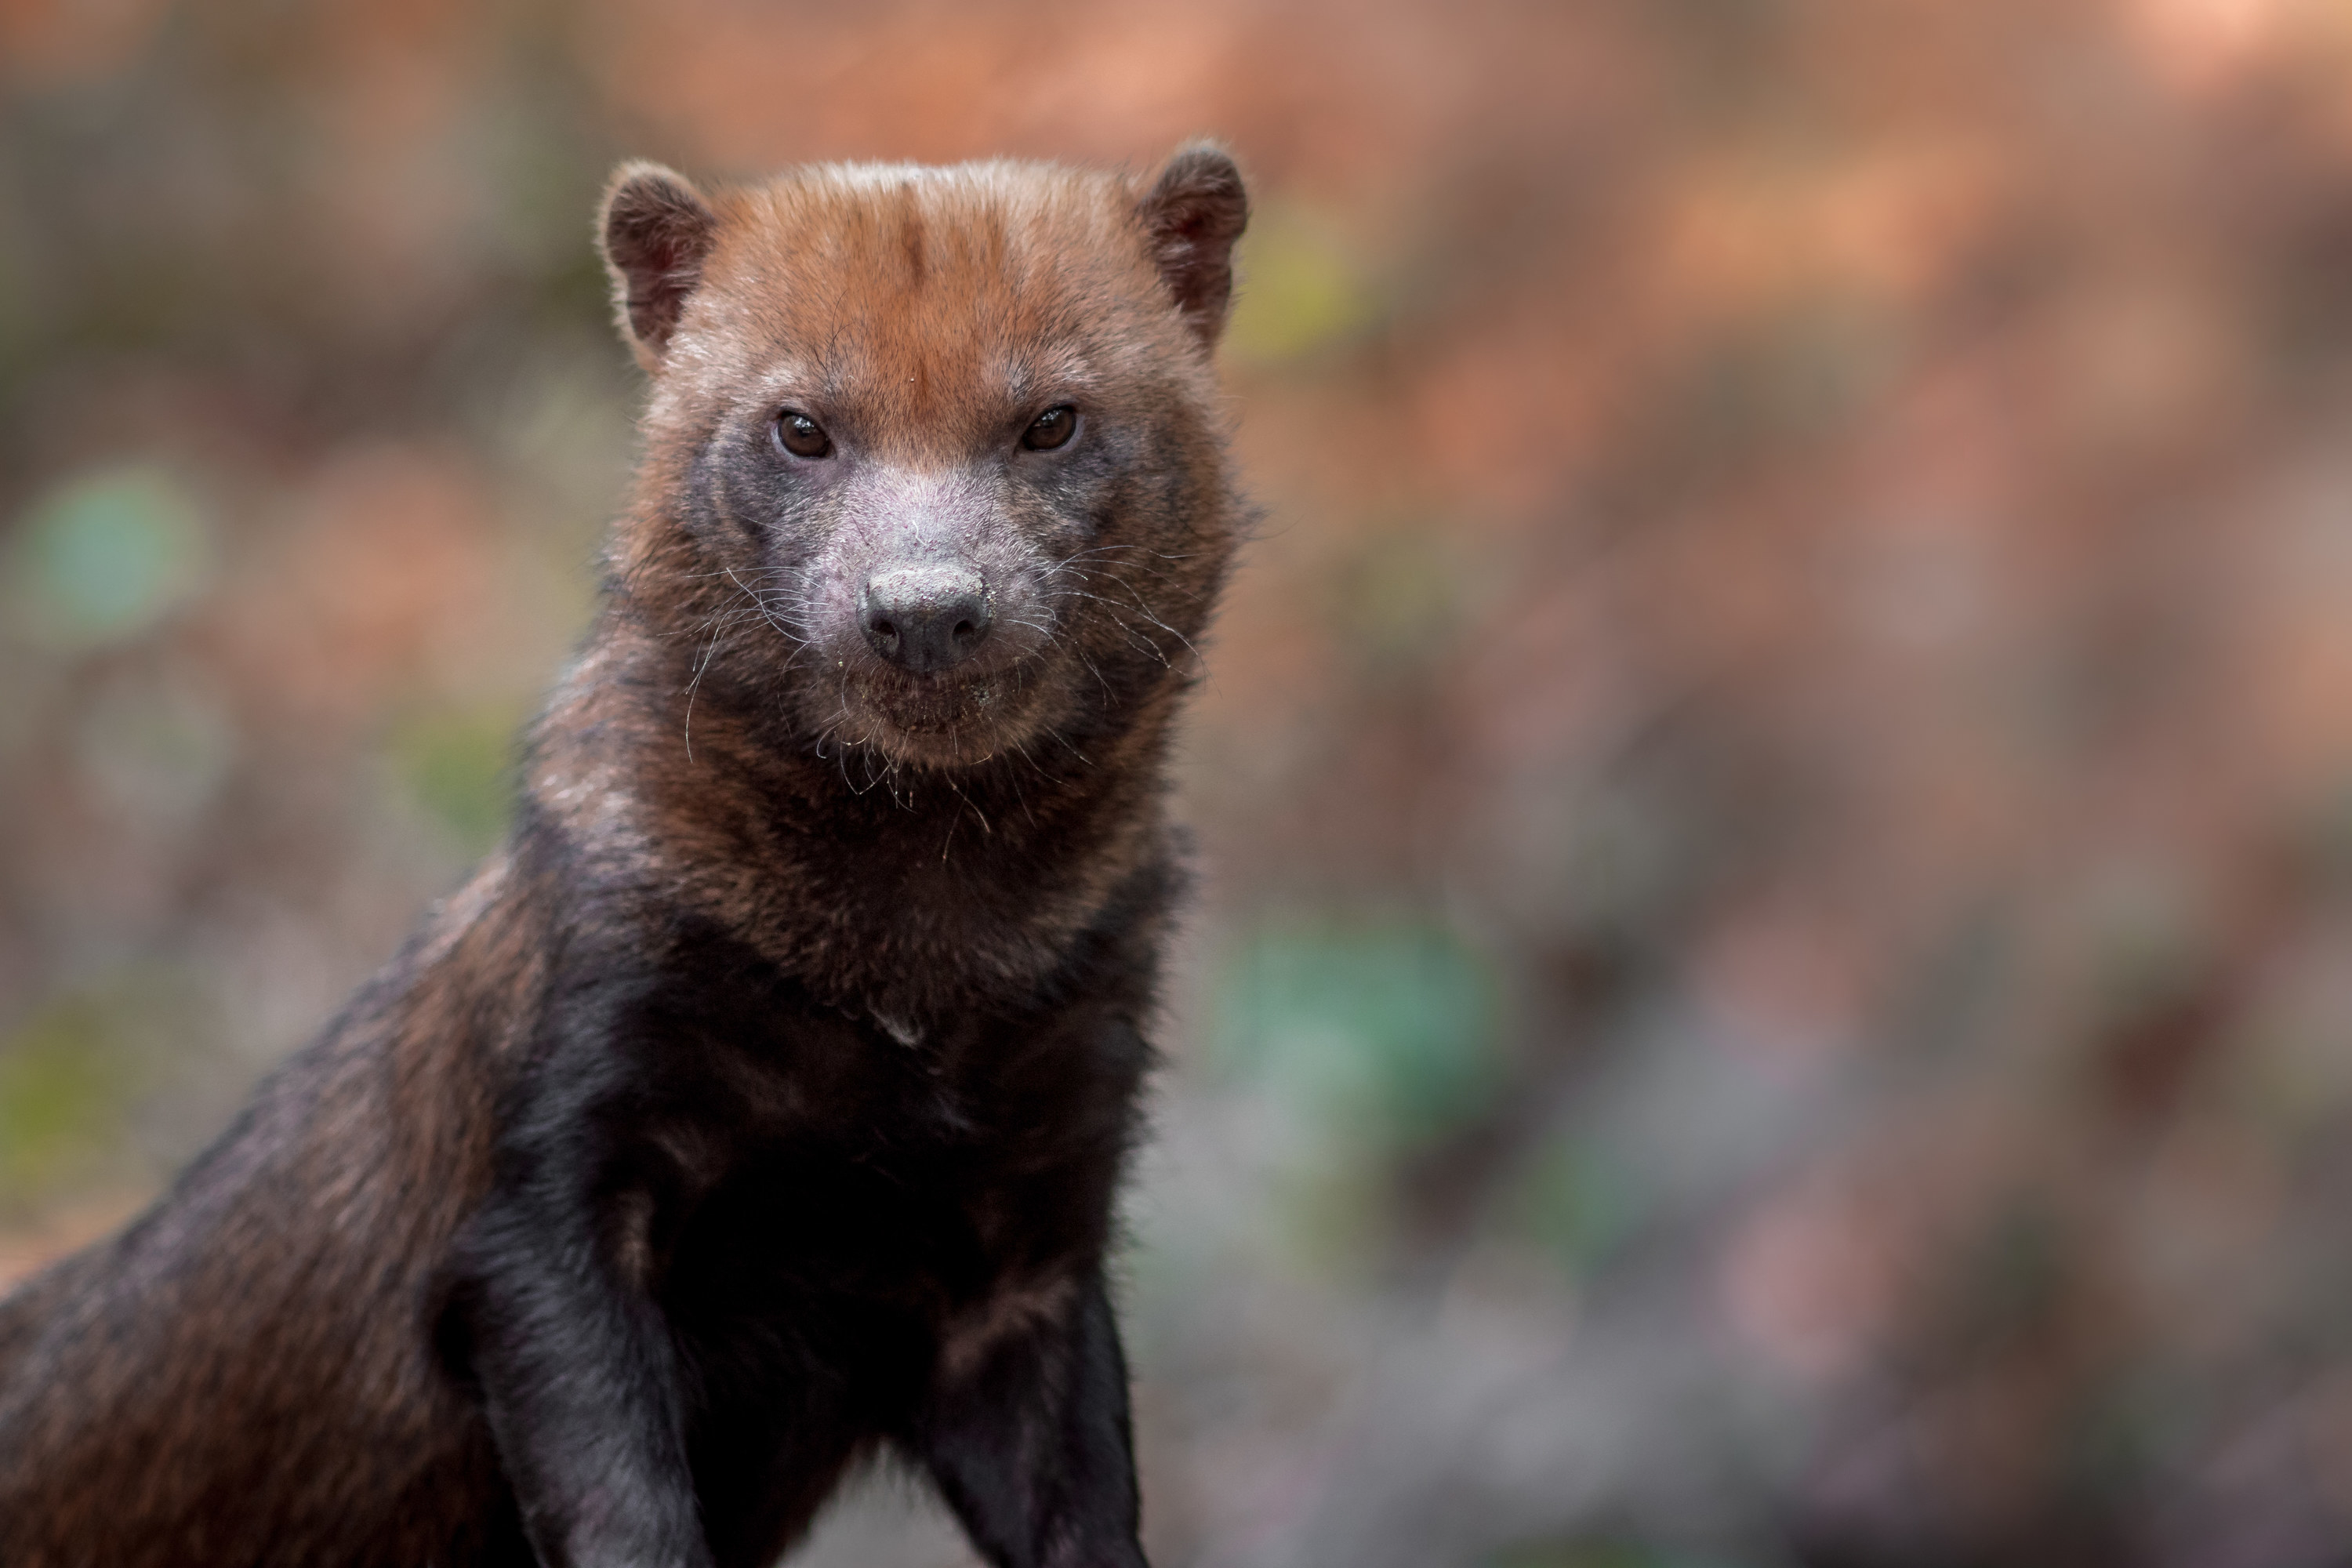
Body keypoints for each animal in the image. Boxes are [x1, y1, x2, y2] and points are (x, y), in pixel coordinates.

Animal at [0, 147, 1251, 1568]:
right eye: (799, 426)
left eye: (1053, 420)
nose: (926, 608)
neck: (913, 987)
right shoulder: (552, 1202)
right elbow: (624, 1514)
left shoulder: (1032, 1244)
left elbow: (1088, 1518)